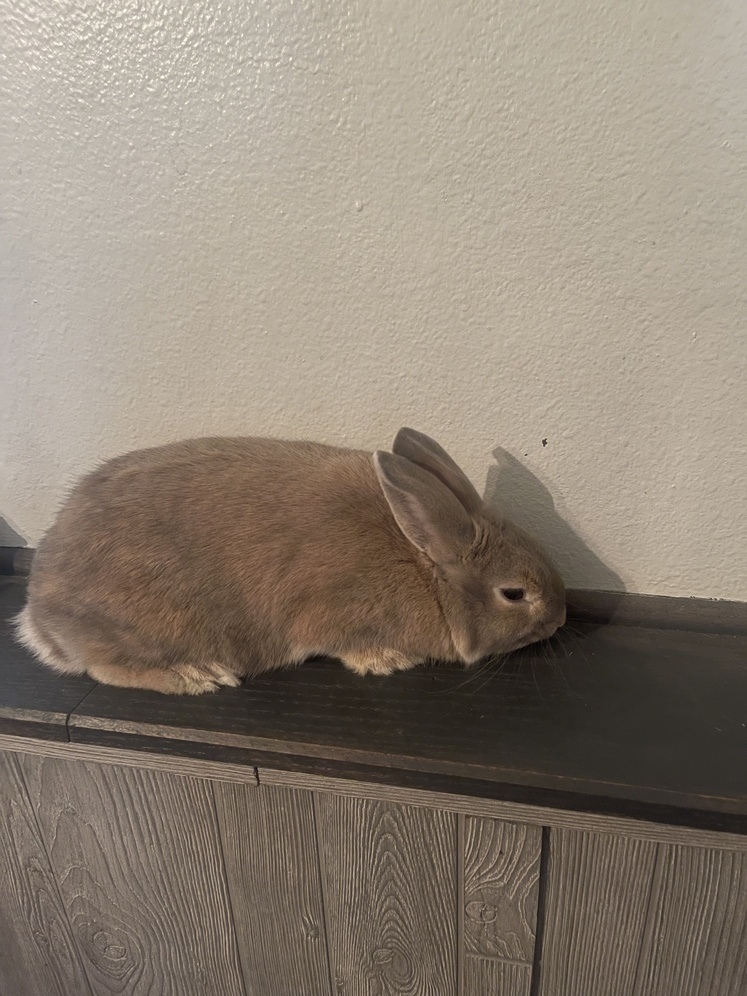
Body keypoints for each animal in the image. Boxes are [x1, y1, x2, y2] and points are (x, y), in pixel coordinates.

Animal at [15, 428, 566, 694]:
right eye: (514, 593)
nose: (561, 618)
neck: (425, 565)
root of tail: (39, 618)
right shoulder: (336, 617)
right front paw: (387, 661)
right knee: (105, 668)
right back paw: (197, 677)